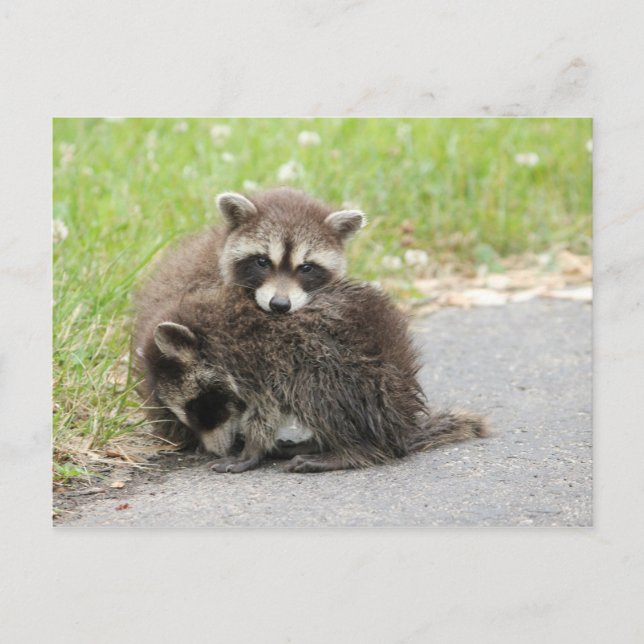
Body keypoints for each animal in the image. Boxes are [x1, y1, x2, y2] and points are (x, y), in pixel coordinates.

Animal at [149, 280, 488, 473]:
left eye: (201, 406)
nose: (214, 450)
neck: (215, 330)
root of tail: (398, 425)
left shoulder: (262, 361)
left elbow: (266, 410)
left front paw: (251, 449)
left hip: (357, 379)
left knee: (313, 386)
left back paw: (354, 451)